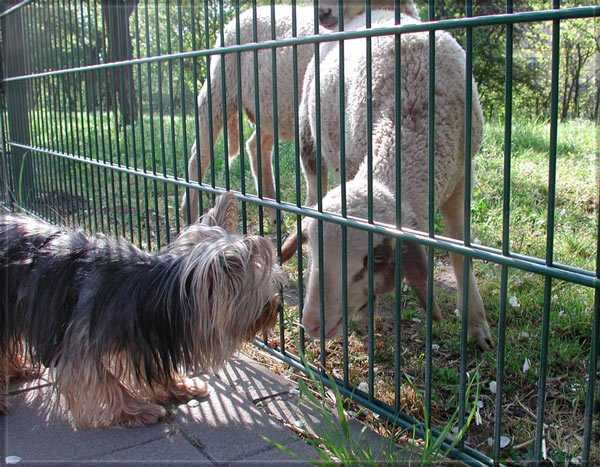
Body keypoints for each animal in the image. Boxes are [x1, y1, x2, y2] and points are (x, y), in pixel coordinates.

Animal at [0, 193, 282, 428]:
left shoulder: (141, 333)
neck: (156, 292)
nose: (277, 307)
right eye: (262, 296)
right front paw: (135, 411)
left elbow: (154, 367)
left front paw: (180, 385)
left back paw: (19, 369)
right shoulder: (81, 342)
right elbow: (102, 380)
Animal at [282, 11, 492, 350]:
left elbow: (462, 251)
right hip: (309, 139)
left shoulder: (462, 178)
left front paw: (476, 323)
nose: (312, 323)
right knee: (314, 189)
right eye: (311, 245)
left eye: (378, 257)